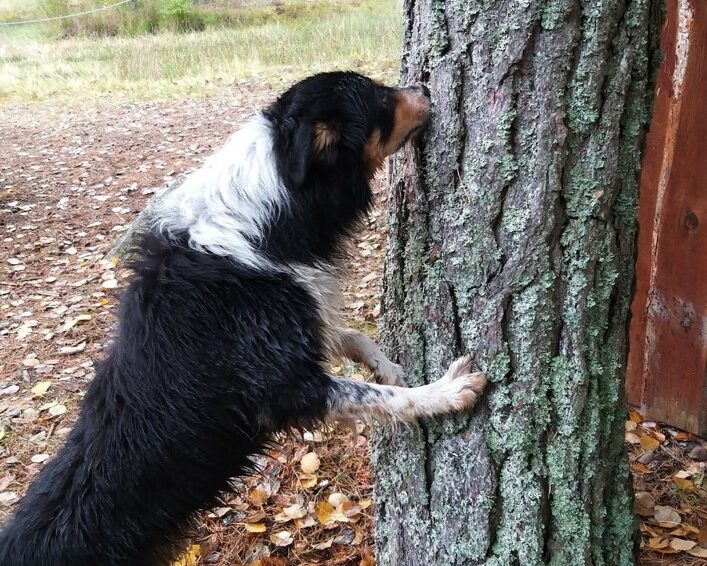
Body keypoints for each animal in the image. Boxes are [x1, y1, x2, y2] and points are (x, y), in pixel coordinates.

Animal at [0, 73, 486, 564]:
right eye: (381, 100)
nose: (424, 89)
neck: (265, 220)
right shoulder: (284, 387)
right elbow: (382, 398)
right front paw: (445, 392)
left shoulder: (296, 324)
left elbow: (349, 337)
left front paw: (386, 364)